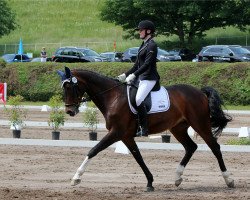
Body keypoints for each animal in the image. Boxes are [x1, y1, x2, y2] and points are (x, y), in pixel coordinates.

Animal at [57, 66, 234, 191]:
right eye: (63, 88)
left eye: (70, 87)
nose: (70, 111)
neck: (112, 97)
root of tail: (200, 92)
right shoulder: (126, 136)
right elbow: (138, 157)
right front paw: (150, 182)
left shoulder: (116, 132)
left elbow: (93, 150)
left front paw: (76, 178)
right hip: (178, 128)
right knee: (191, 147)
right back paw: (177, 177)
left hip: (200, 124)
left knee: (215, 147)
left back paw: (229, 179)